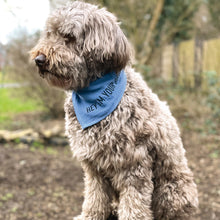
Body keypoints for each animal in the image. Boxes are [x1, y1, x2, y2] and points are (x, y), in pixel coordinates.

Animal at [30, 0, 198, 219]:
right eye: (50, 34)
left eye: (69, 37)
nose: (39, 59)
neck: (92, 95)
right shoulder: (93, 164)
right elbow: (95, 196)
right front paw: (91, 215)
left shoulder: (133, 162)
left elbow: (134, 204)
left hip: (170, 190)